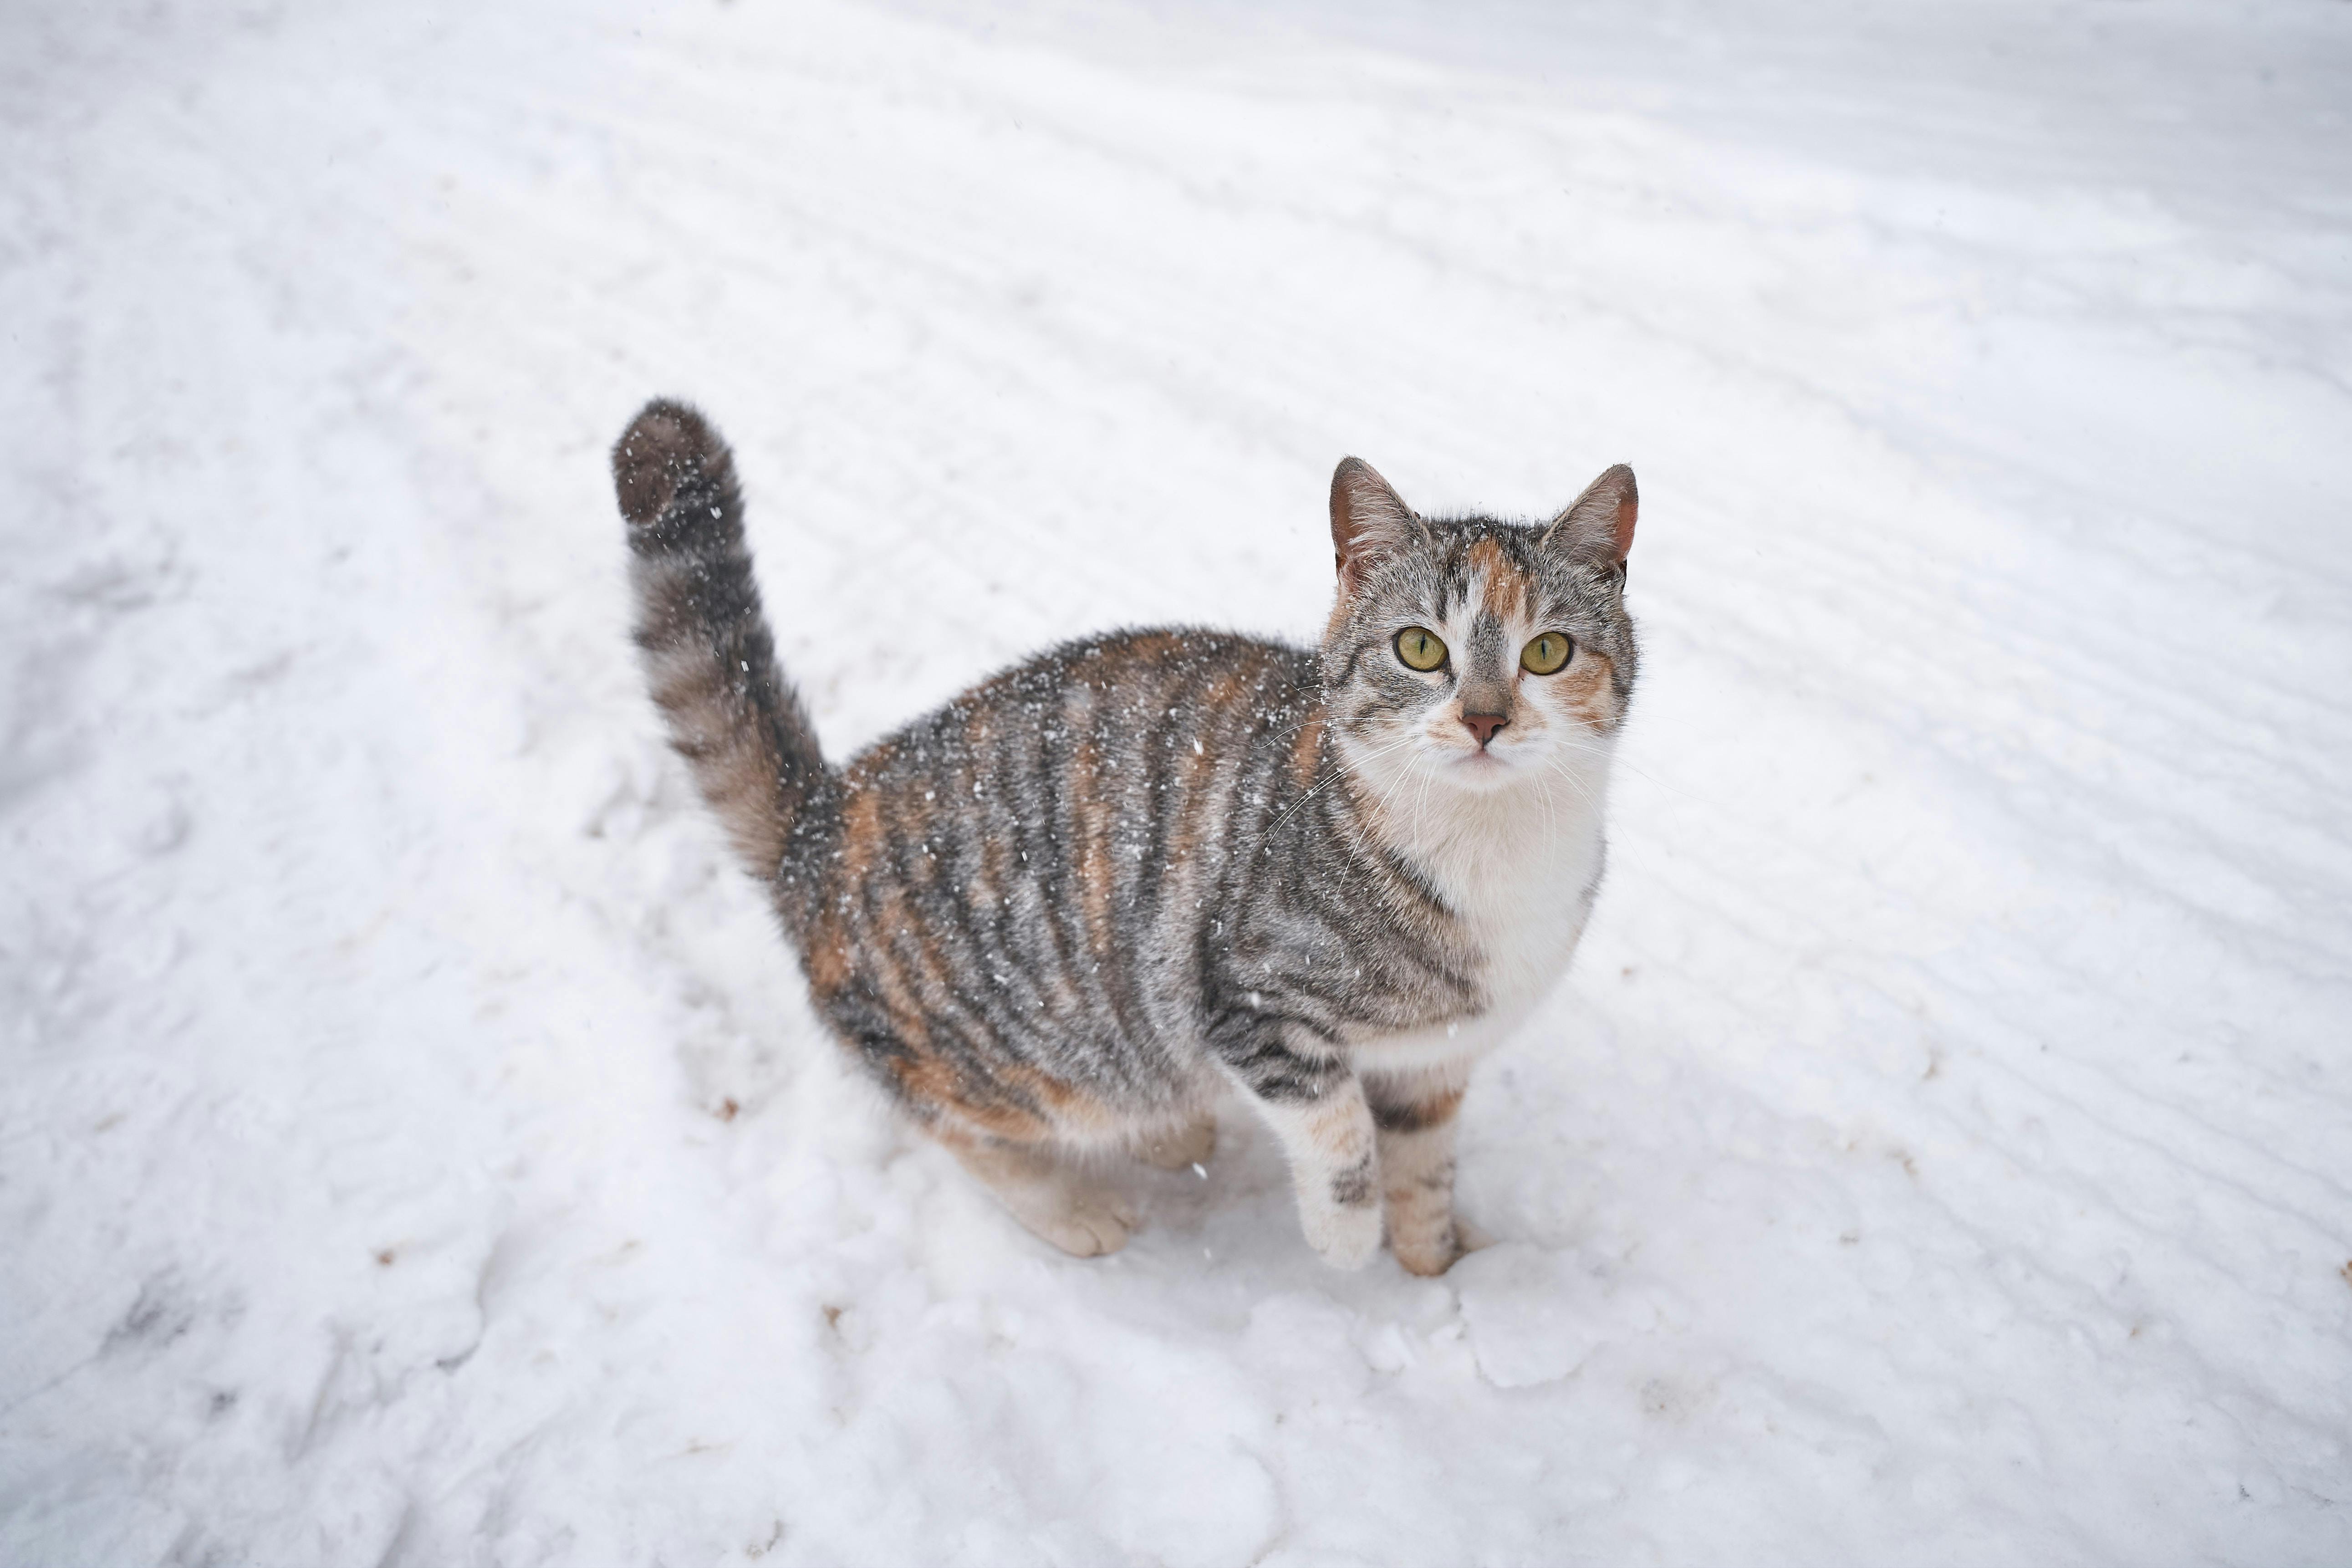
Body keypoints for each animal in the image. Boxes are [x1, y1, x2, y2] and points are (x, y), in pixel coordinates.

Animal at [611, 404, 1637, 1279]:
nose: (1484, 718)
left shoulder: (1436, 1060)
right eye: (1420, 648)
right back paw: (1075, 1205)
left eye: (1546, 652)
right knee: (958, 1122)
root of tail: (828, 813)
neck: (1490, 846)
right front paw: (1348, 1238)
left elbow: (1425, 1163)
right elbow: (1337, 1129)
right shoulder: (1252, 1000)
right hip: (1004, 1049)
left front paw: (1437, 1263)